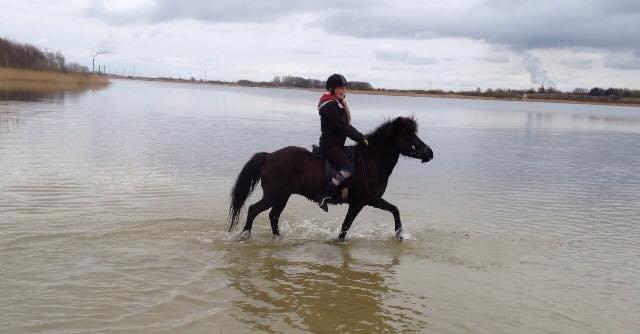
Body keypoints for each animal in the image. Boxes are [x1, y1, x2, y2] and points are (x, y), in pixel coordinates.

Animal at [228, 116, 432, 241]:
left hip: (282, 197)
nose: (429, 153)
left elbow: (393, 210)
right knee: (254, 210)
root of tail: (269, 156)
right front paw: (399, 234)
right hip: (274, 195)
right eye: (407, 134)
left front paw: (399, 234)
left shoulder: (368, 201)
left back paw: (278, 237)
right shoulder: (363, 201)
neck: (371, 160)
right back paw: (245, 236)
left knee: (273, 215)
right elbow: (347, 226)